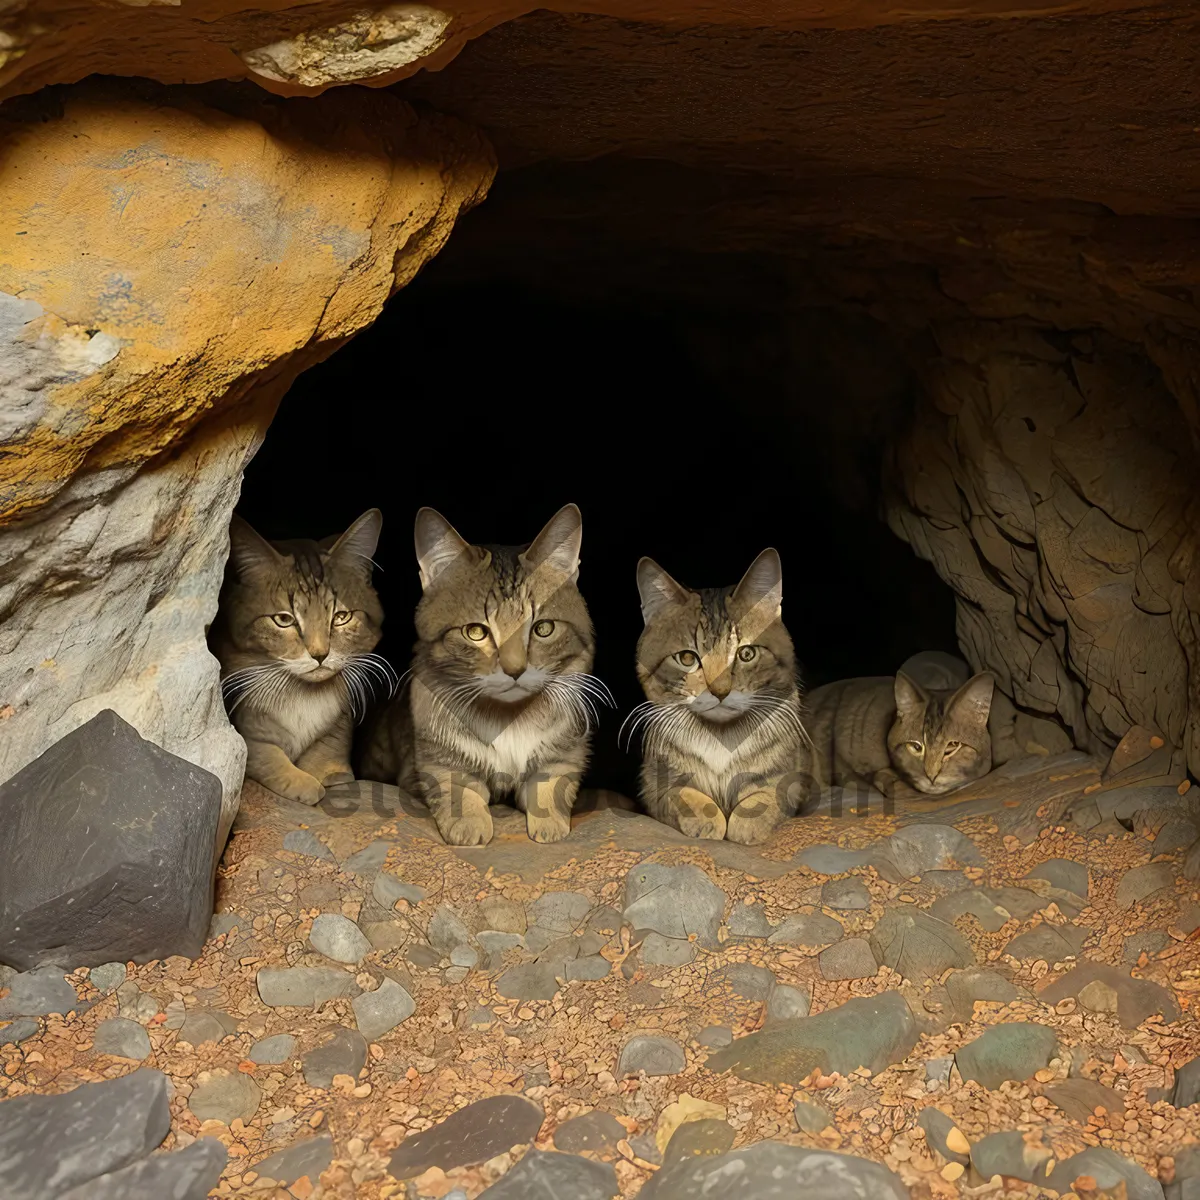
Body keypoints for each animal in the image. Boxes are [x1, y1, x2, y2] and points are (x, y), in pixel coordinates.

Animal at [211, 511, 386, 811]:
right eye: (284, 619)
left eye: (341, 617)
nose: (320, 654)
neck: (303, 695)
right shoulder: (245, 725)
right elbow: (264, 754)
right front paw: (302, 782)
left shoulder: (341, 721)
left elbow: (328, 748)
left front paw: (327, 774)